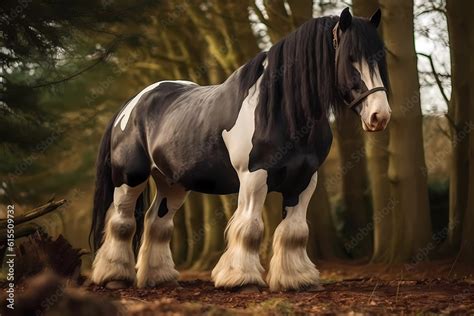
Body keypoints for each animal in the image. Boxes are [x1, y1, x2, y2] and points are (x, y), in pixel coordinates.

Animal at [88, 6, 388, 292]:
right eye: (351, 58)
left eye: (379, 60)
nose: (379, 116)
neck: (281, 110)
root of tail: (132, 103)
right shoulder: (254, 176)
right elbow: (250, 228)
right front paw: (242, 280)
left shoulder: (304, 180)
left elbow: (295, 231)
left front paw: (298, 280)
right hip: (129, 179)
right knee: (122, 222)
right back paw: (114, 276)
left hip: (172, 183)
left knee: (156, 223)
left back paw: (160, 278)